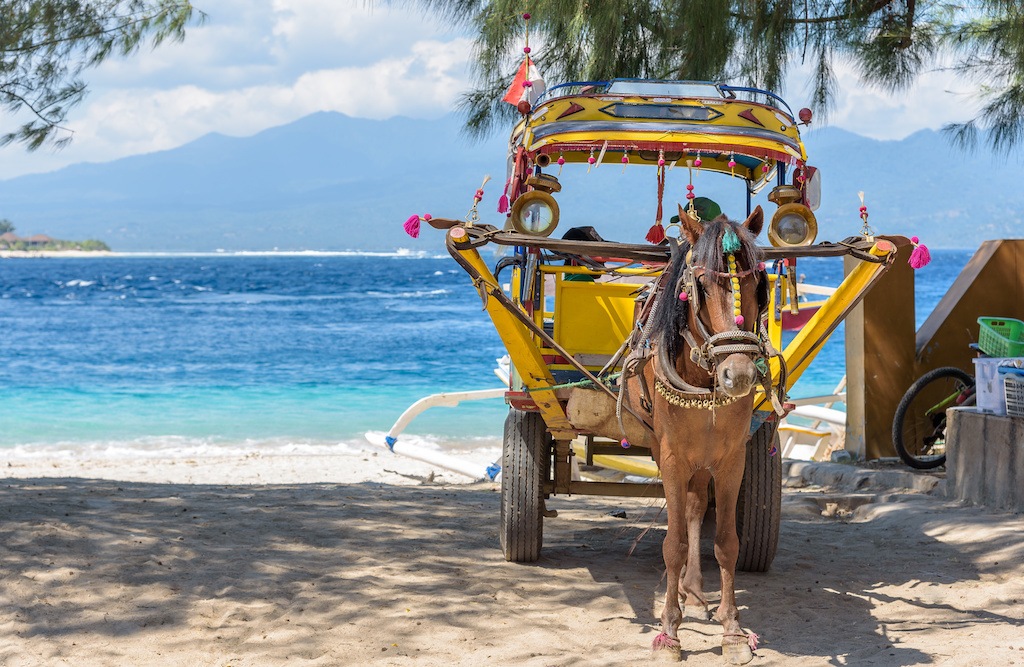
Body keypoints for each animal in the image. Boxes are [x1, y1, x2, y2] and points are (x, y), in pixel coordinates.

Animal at [624, 204, 777, 664]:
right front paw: (669, 633)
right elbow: (672, 544)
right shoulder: (673, 457)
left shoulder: (732, 460)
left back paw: (692, 592)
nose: (739, 375)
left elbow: (727, 543)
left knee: (695, 507)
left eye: (759, 284)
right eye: (703, 286)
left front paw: (733, 631)